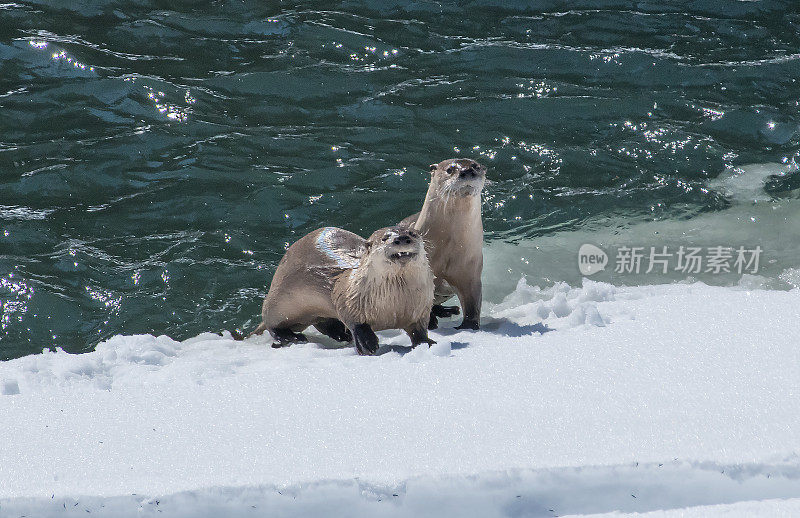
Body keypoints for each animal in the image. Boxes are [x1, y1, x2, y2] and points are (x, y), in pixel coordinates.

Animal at [242, 228, 434, 358]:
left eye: (412, 233)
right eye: (385, 238)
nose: (402, 238)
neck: (395, 304)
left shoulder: (422, 309)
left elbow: (419, 330)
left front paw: (427, 343)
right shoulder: (348, 298)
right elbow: (355, 322)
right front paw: (367, 344)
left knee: (322, 321)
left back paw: (341, 333)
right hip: (278, 302)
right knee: (271, 324)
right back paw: (293, 337)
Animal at [400, 156, 488, 332]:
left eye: (475, 166)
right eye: (449, 169)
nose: (467, 171)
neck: (448, 247)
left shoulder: (471, 272)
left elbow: (473, 301)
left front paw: (470, 325)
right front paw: (430, 322)